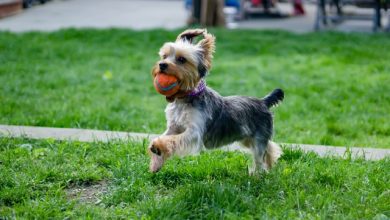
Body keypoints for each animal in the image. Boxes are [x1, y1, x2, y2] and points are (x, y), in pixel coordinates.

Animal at [149, 28, 284, 174]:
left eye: (181, 59)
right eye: (164, 56)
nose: (162, 65)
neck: (185, 97)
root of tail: (263, 102)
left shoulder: (194, 132)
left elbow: (173, 139)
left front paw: (159, 147)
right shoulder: (174, 126)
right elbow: (165, 136)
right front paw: (156, 159)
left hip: (258, 137)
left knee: (259, 157)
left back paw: (257, 174)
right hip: (246, 136)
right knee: (269, 148)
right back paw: (270, 164)